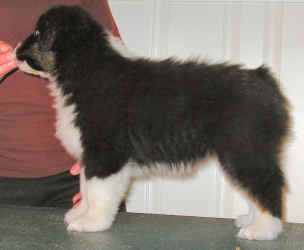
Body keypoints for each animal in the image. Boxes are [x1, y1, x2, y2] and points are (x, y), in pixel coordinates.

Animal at [15, 5, 290, 240]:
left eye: (38, 32)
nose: (16, 49)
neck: (84, 68)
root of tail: (263, 78)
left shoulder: (105, 154)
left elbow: (98, 191)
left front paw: (91, 222)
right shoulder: (90, 154)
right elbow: (86, 186)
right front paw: (79, 213)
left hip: (244, 148)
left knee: (268, 185)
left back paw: (264, 230)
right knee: (254, 188)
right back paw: (251, 220)